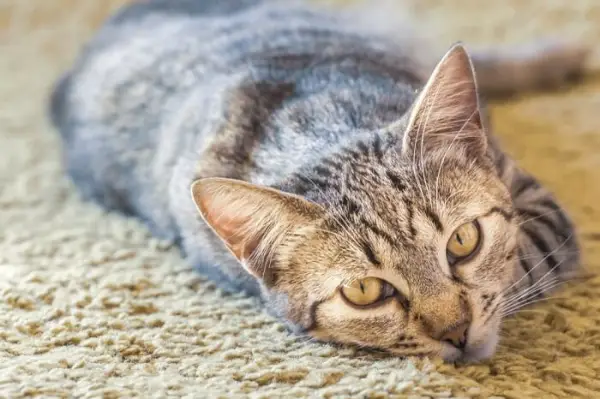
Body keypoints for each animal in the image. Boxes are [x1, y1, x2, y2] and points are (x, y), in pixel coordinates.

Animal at [49, 0, 584, 362]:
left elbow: (519, 263)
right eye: (365, 292)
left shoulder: (534, 200)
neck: (320, 123)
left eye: (463, 241)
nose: (456, 331)